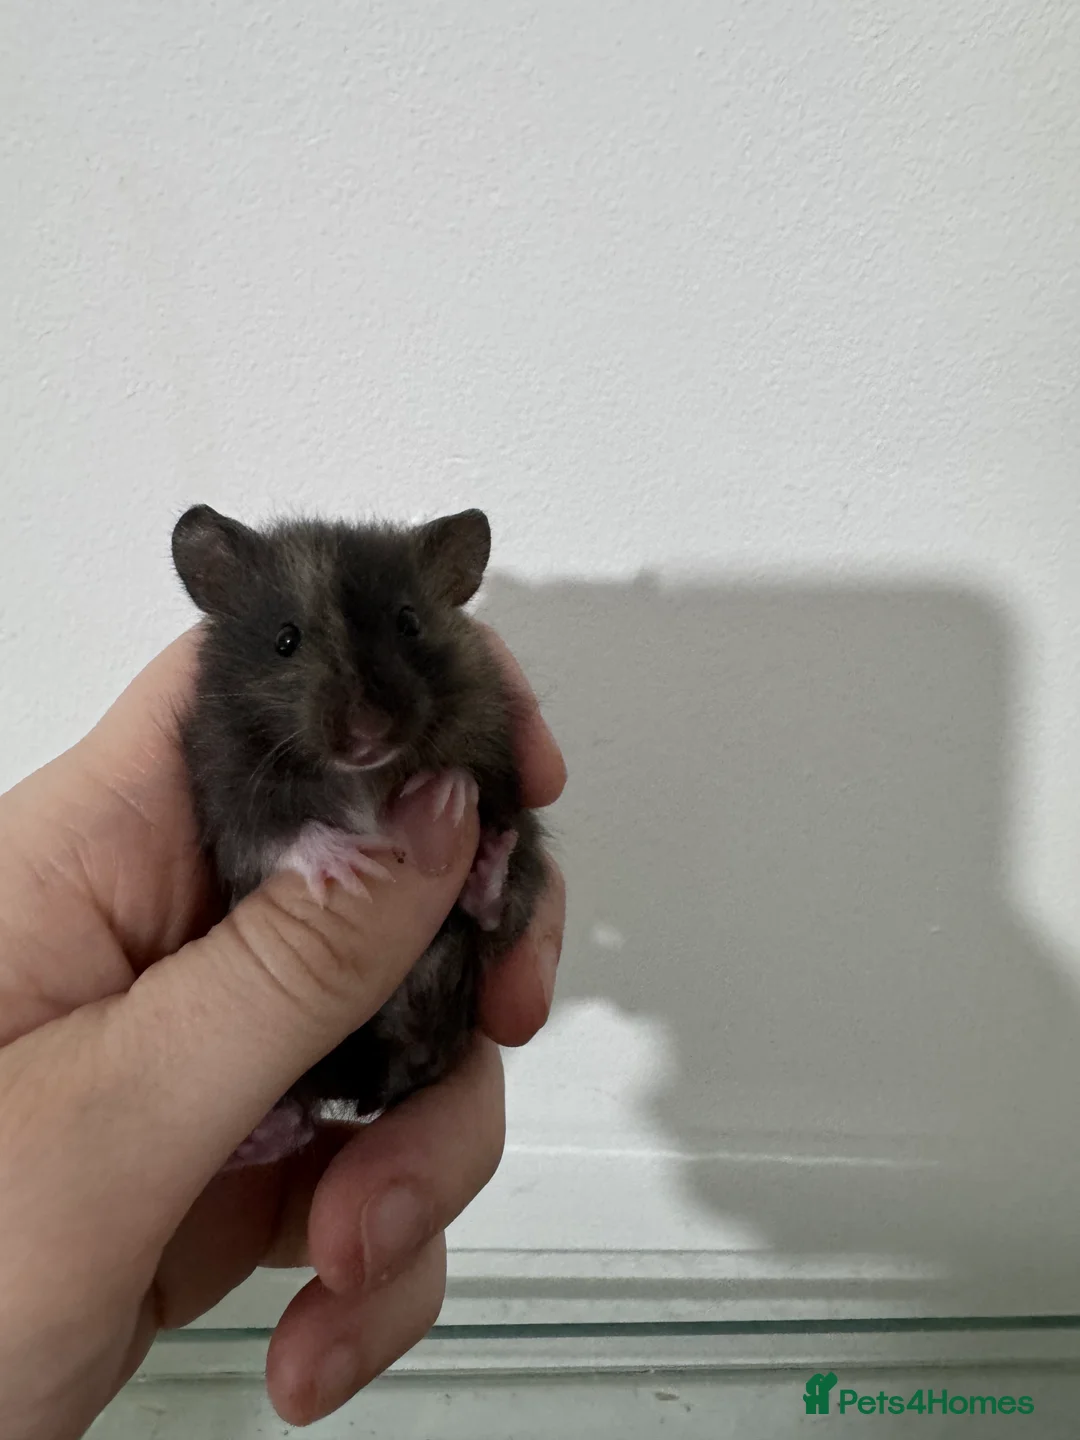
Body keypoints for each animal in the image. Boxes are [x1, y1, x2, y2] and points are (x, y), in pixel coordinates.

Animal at [171, 504, 547, 1163]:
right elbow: (276, 834)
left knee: (494, 913)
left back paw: (486, 864)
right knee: (299, 1118)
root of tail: (378, 1077)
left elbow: (478, 776)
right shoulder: (224, 786)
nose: (369, 732)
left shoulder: (492, 736)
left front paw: (445, 792)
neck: (360, 773)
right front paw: (351, 865)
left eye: (409, 623)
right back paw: (255, 1141)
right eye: (285, 640)